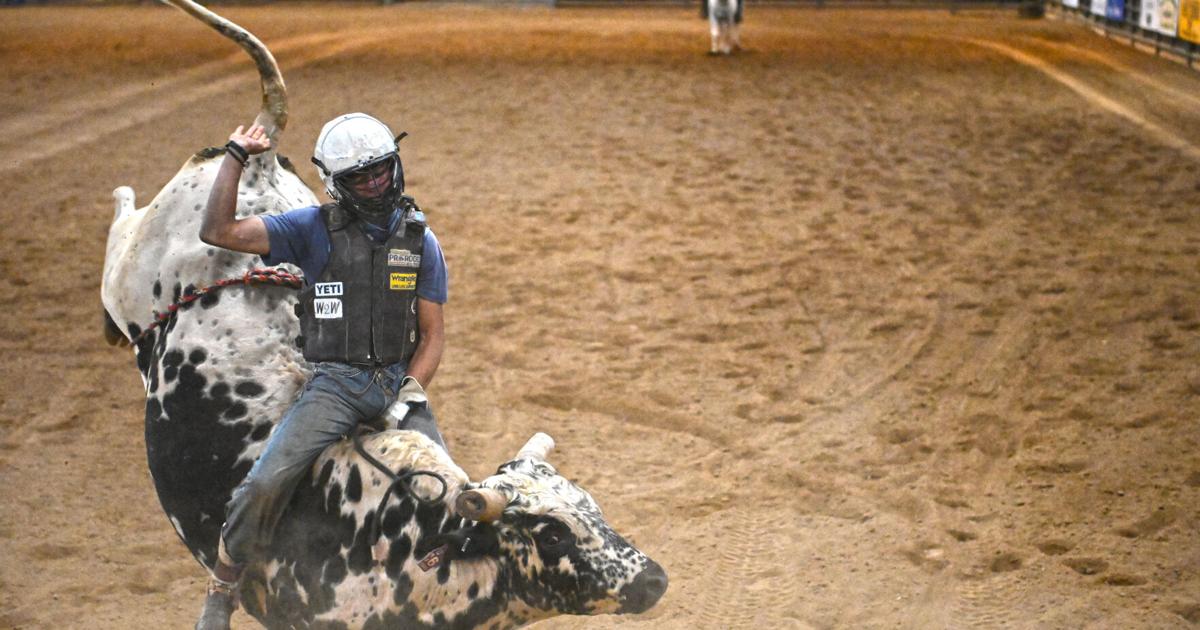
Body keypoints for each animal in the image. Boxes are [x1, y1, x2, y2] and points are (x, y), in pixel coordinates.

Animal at [100, 0, 667, 627]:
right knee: (120, 231)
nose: (654, 578)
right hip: (130, 278)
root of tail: (257, 161)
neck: (400, 541)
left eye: (591, 506)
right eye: (552, 534)